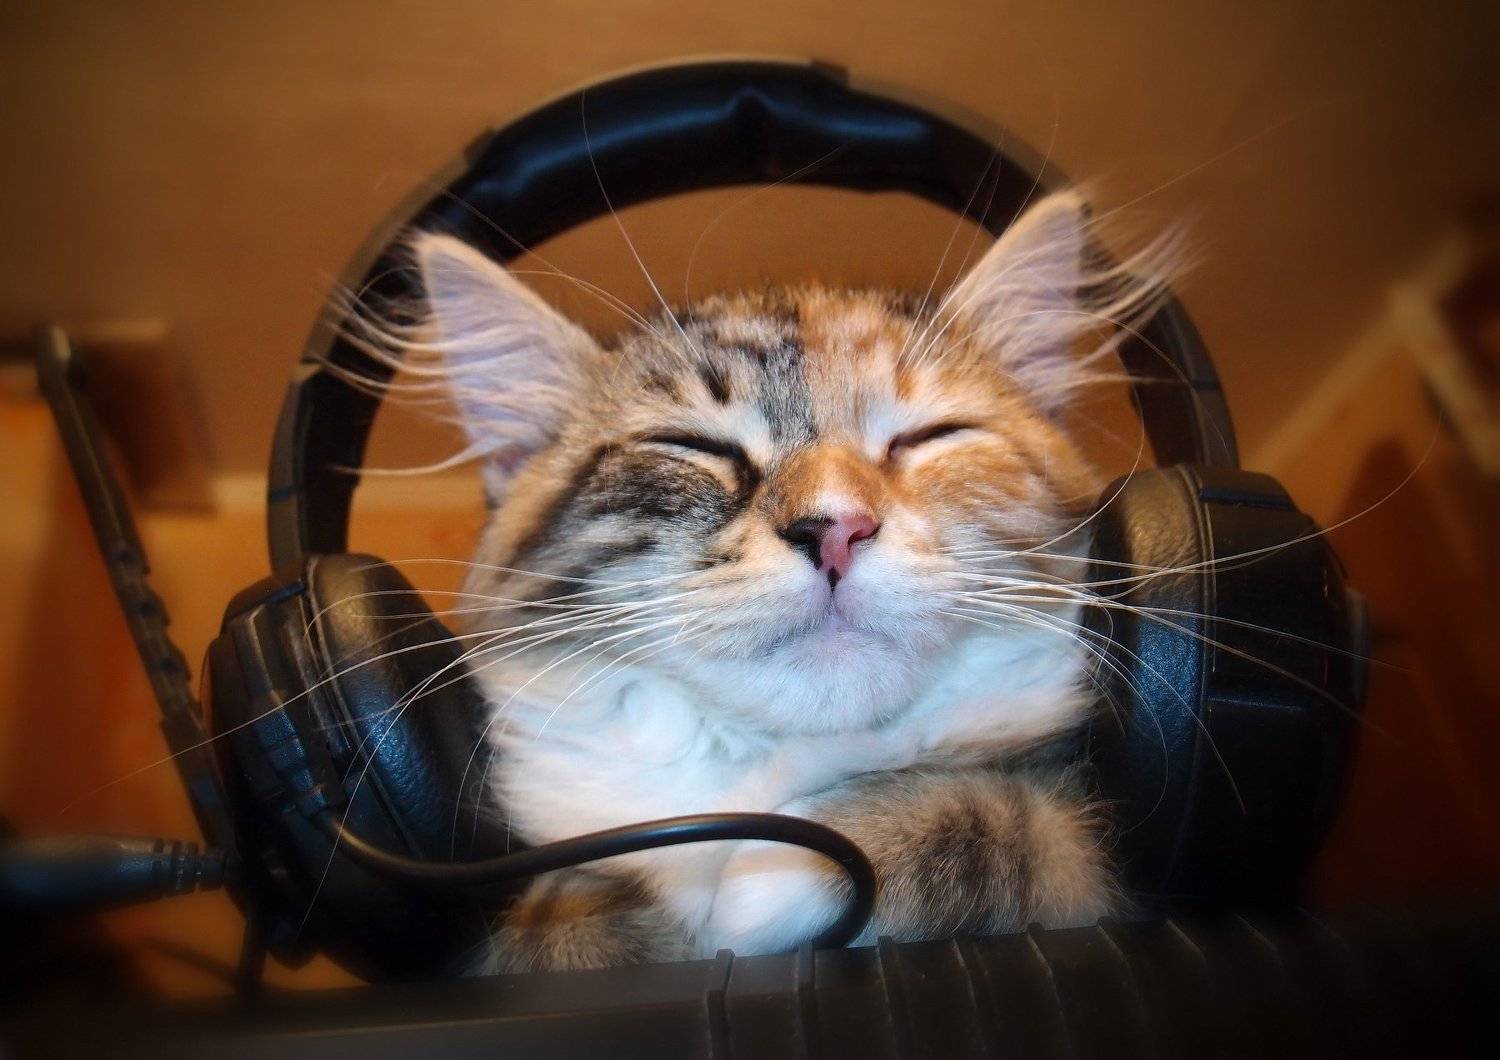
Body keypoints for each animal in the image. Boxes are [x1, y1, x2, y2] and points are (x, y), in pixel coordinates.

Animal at [359, 189, 1171, 973]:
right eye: (694, 446)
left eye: (927, 438)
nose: (835, 528)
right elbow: (558, 911)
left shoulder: (1096, 839)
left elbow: (1009, 824)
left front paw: (770, 885)